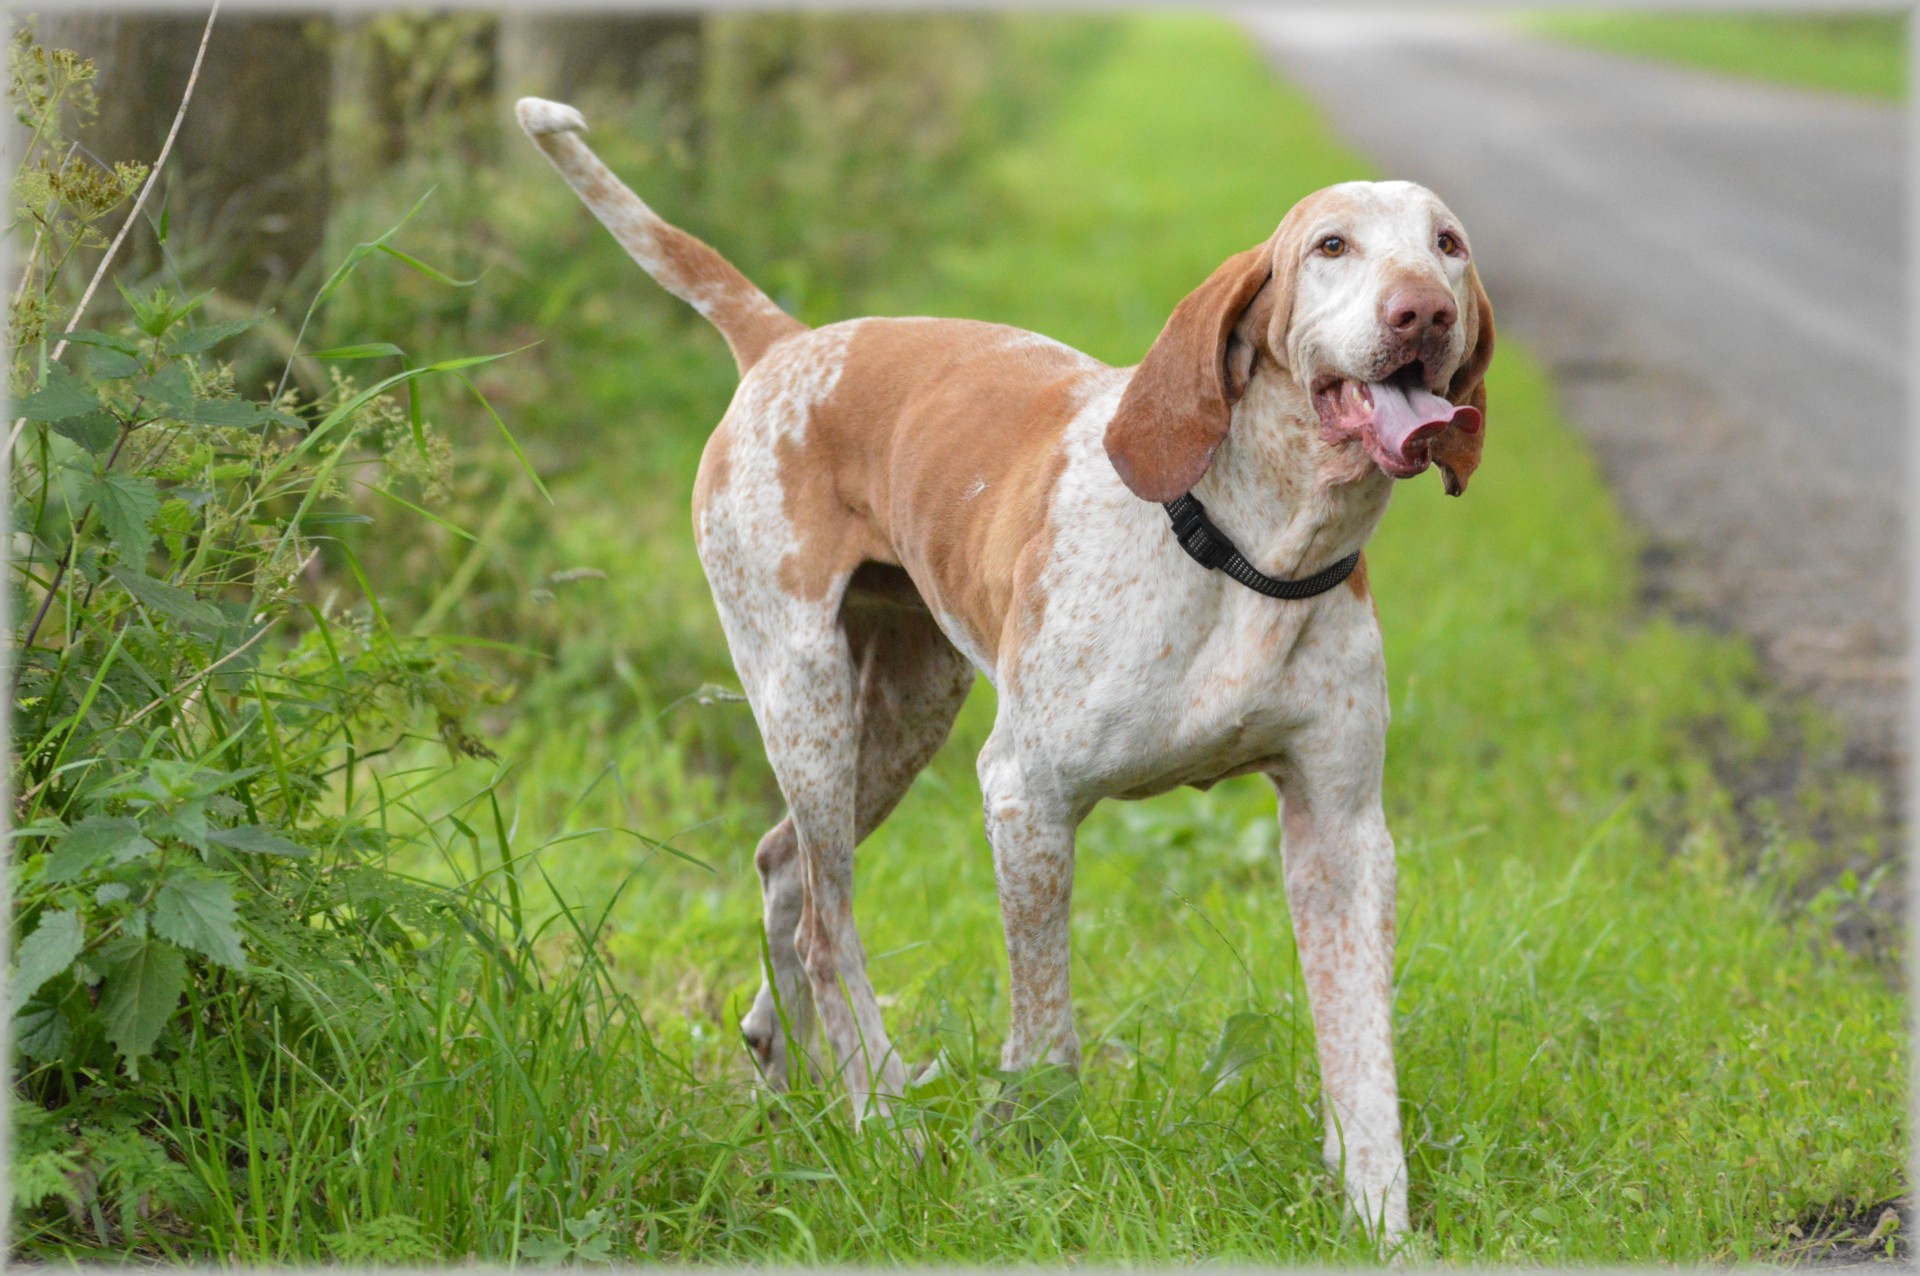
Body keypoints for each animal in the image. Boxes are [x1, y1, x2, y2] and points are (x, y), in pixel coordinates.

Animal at [518, 92, 1489, 1243]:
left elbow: (1361, 1060)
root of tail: (789, 342)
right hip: (805, 698)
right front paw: (1026, 1156)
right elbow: (1048, 1030)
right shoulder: (1028, 795)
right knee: (826, 926)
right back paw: (883, 1117)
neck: (1254, 549)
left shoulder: (1342, 835)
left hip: (901, 714)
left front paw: (1381, 1222)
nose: (1423, 314)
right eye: (1332, 246)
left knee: (783, 866)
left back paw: (792, 1079)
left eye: (1448, 243)